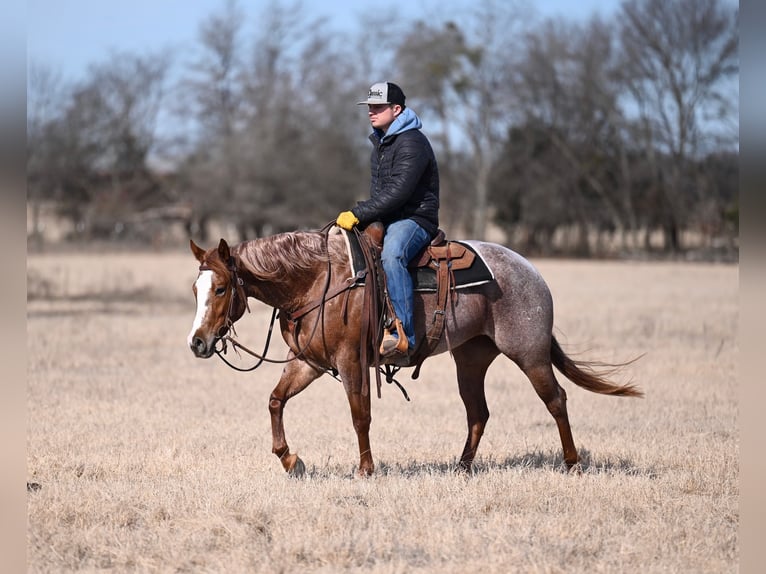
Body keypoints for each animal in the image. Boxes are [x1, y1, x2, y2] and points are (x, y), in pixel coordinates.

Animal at [187, 226, 641, 477]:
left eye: (222, 288)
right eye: (196, 289)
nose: (197, 342)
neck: (318, 281)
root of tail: (532, 273)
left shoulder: (350, 362)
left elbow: (360, 415)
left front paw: (365, 470)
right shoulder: (310, 362)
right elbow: (275, 400)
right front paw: (290, 460)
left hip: (530, 355)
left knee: (556, 400)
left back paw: (573, 463)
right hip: (471, 359)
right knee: (478, 413)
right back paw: (461, 468)